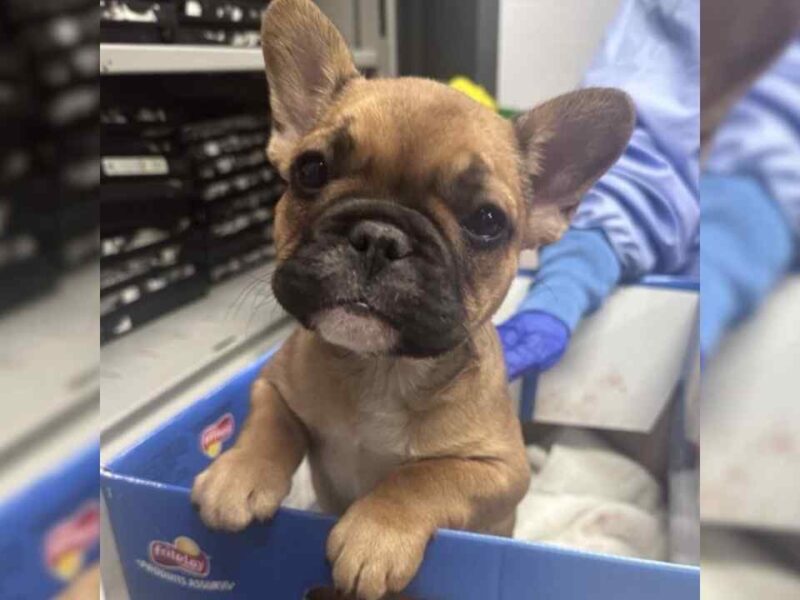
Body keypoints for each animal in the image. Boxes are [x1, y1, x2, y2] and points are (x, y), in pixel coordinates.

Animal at [191, 1, 636, 600]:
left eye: (487, 221)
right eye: (311, 170)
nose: (379, 237)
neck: (381, 371)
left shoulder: (500, 469)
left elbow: (424, 476)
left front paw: (375, 533)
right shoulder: (272, 384)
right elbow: (271, 424)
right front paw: (239, 474)